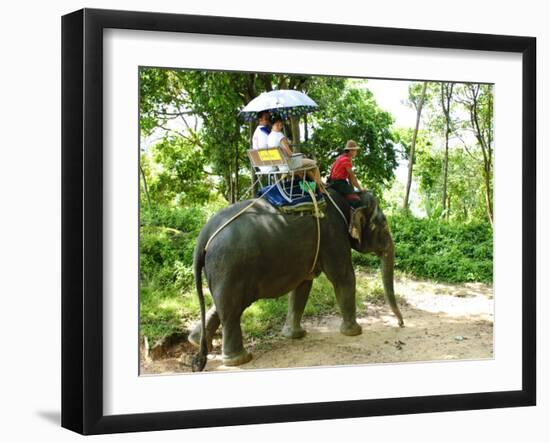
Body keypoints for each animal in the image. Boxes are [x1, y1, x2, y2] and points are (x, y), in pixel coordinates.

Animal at [190, 189, 406, 372]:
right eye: (384, 225)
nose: (401, 324)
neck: (347, 198)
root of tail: (204, 234)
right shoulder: (333, 236)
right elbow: (343, 277)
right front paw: (354, 333)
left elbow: (303, 285)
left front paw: (294, 335)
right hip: (231, 266)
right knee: (232, 310)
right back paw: (239, 359)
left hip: (222, 270)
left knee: (222, 305)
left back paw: (196, 342)